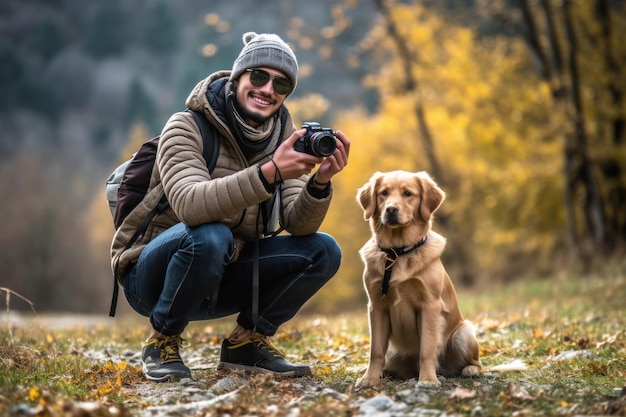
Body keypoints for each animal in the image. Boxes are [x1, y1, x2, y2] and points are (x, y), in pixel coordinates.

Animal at [354, 170, 480, 386]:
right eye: (383, 193)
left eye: (408, 193)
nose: (391, 209)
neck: (398, 252)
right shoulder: (376, 306)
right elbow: (375, 351)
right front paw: (370, 378)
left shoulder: (429, 305)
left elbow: (426, 349)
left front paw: (428, 379)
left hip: (463, 333)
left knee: (474, 362)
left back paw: (469, 369)